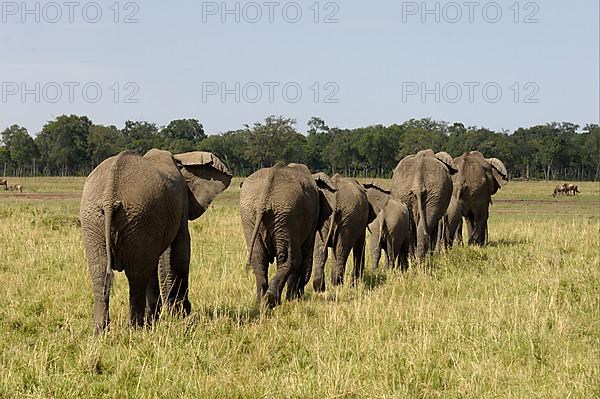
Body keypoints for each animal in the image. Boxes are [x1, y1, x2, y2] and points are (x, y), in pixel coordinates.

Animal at [78, 150, 231, 334]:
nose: (172, 310)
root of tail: (110, 196)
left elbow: (156, 262)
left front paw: (160, 316)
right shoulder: (179, 204)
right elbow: (181, 253)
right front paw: (182, 314)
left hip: (97, 221)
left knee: (101, 274)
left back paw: (101, 332)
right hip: (131, 218)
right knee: (136, 277)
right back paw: (137, 329)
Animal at [240, 164, 338, 308]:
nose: (300, 294)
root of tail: (264, 198)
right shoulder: (311, 218)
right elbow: (306, 256)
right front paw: (294, 298)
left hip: (252, 215)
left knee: (258, 258)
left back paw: (261, 302)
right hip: (287, 214)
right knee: (292, 258)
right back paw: (271, 300)